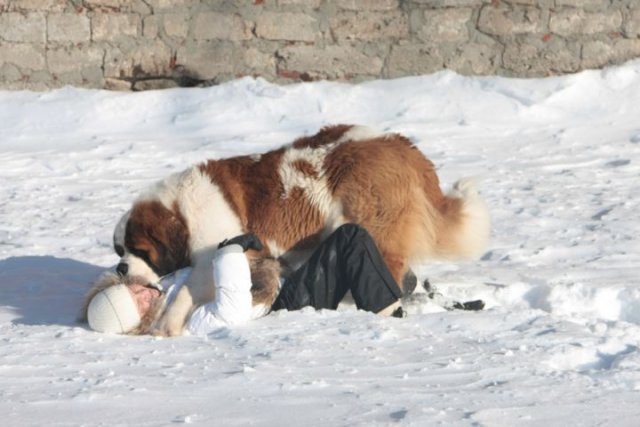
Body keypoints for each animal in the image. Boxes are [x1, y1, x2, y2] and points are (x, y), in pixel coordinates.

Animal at [112, 125, 490, 336]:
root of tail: (400, 144)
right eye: (119, 250)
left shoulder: (211, 254)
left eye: (140, 250)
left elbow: (188, 290)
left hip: (368, 220)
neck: (183, 211)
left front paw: (166, 326)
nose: (121, 268)